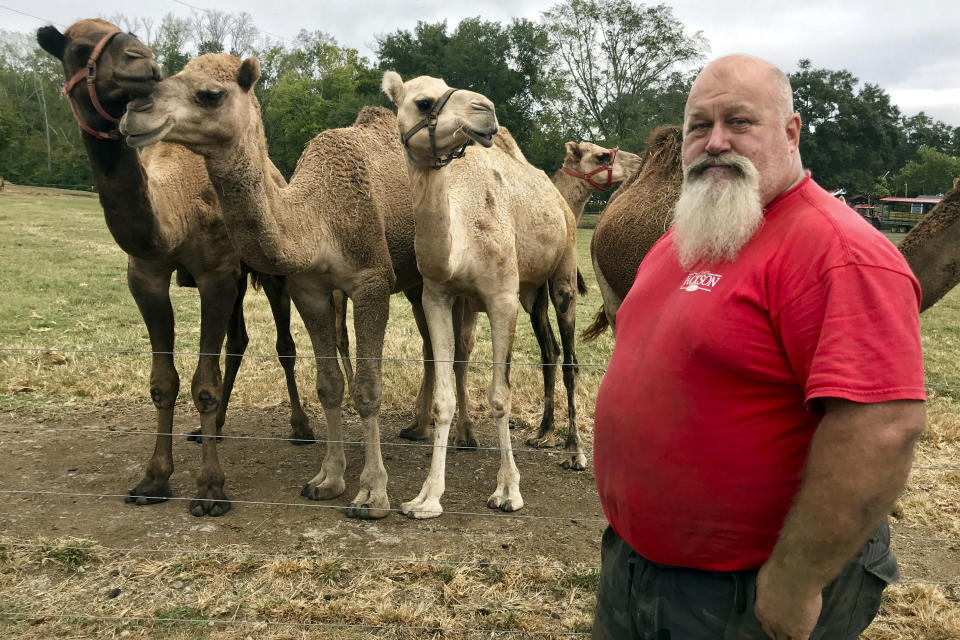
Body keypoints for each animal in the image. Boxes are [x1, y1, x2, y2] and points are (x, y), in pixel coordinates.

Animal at [37, 20, 314, 516]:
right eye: (78, 48)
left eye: (129, 37)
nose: (141, 61)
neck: (175, 204)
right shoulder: (146, 275)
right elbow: (163, 381)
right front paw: (153, 479)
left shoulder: (216, 273)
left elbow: (204, 382)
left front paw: (210, 490)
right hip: (238, 283)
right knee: (237, 343)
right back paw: (213, 428)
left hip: (270, 273)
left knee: (283, 345)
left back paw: (300, 427)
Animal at [378, 70, 580, 520]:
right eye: (422, 102)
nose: (485, 109)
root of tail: (560, 198)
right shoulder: (437, 296)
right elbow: (443, 397)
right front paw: (426, 497)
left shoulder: (501, 298)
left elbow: (500, 397)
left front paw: (508, 490)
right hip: (531, 292)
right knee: (550, 349)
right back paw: (545, 436)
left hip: (564, 269)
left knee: (570, 356)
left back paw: (574, 452)